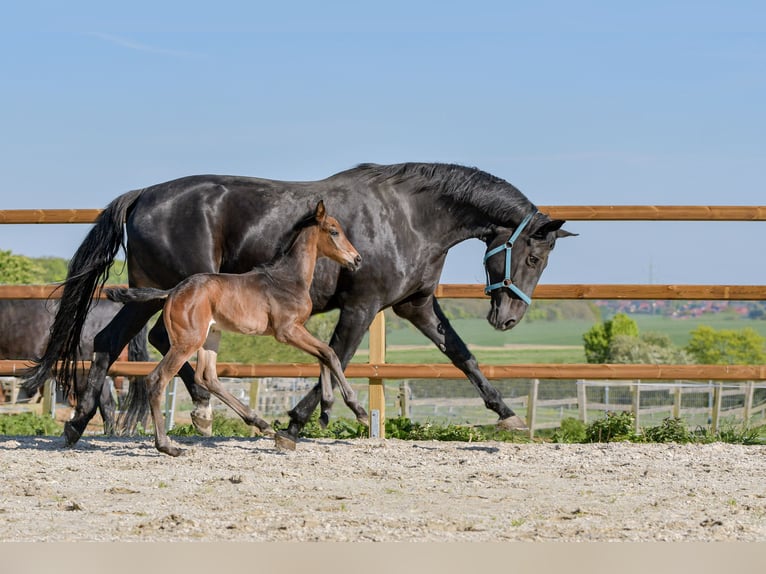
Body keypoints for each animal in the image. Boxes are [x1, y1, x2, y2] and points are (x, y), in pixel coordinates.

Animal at [106, 200, 368, 456]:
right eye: (334, 231)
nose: (357, 259)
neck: (288, 278)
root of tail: (173, 291)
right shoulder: (288, 331)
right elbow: (329, 353)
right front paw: (358, 411)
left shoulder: (297, 329)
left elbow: (324, 355)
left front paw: (326, 411)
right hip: (188, 341)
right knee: (157, 379)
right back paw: (167, 446)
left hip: (211, 337)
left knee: (207, 377)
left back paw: (261, 423)